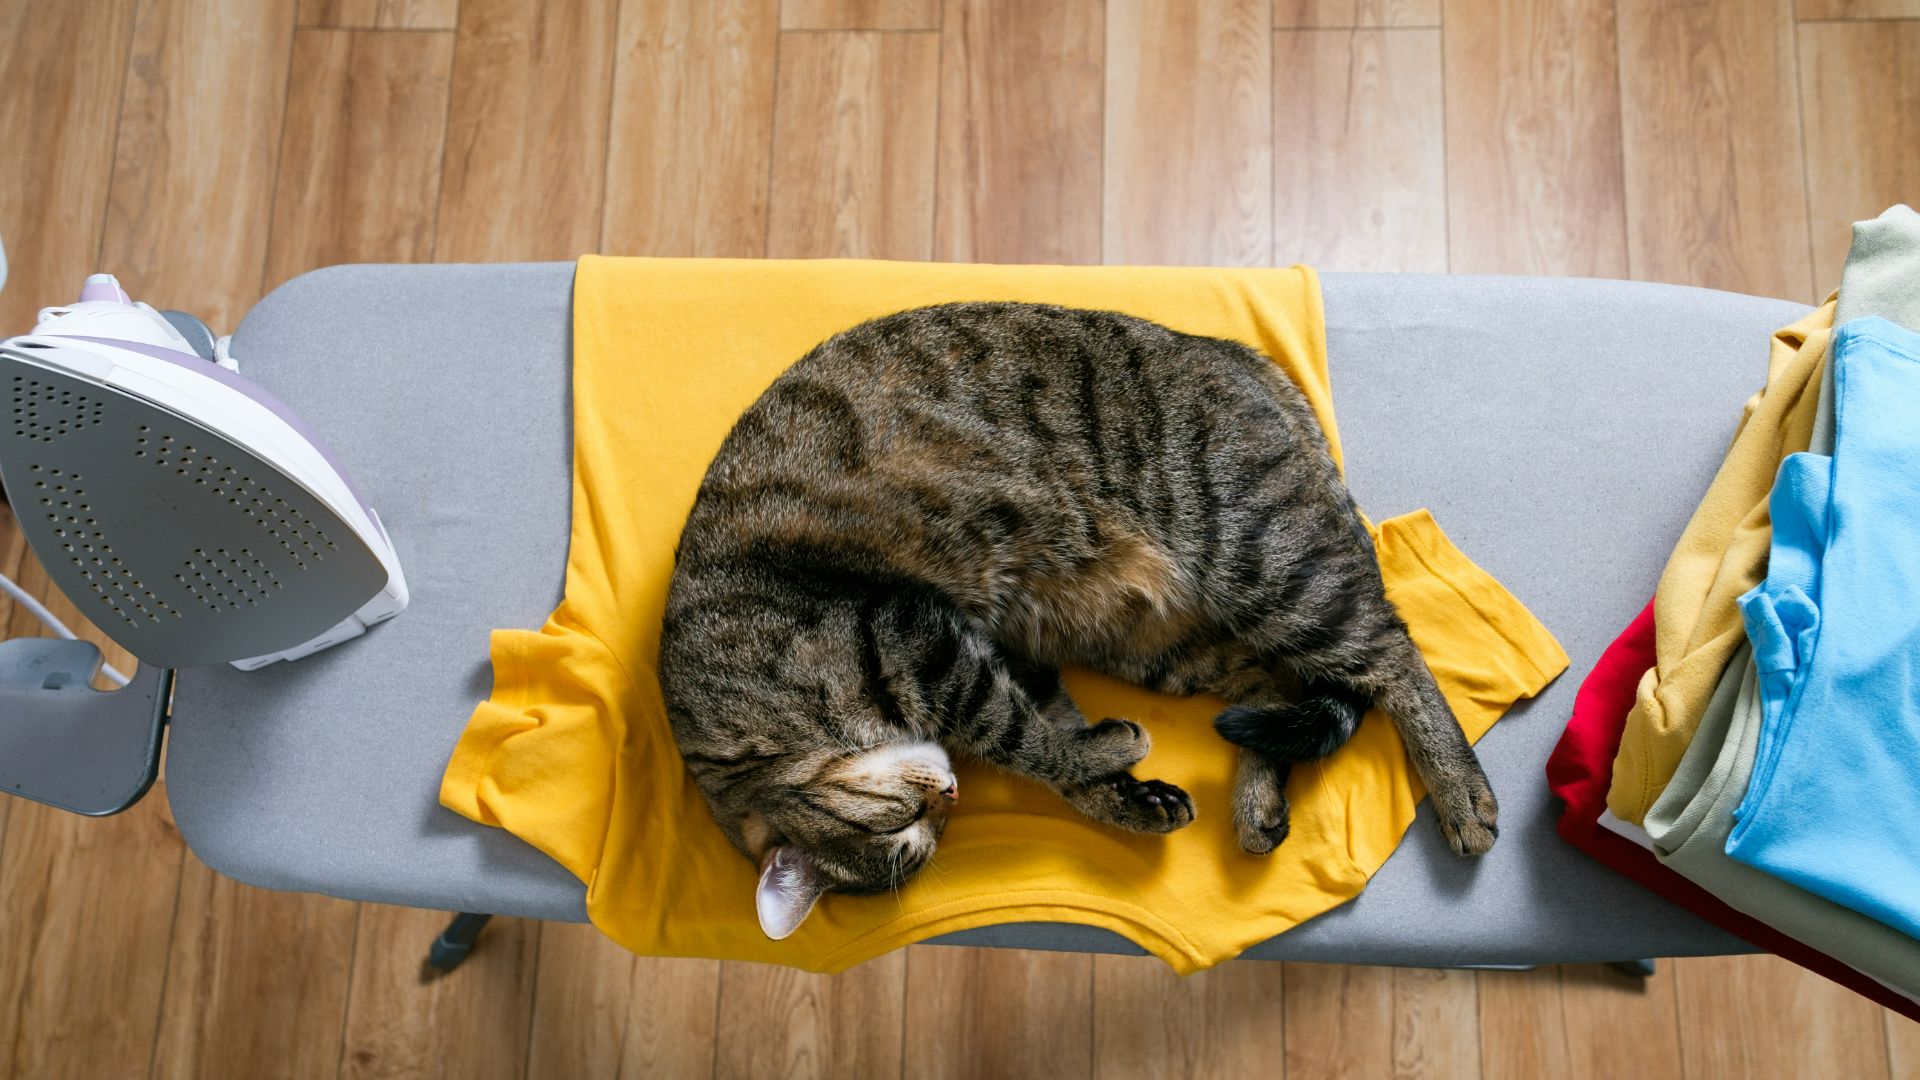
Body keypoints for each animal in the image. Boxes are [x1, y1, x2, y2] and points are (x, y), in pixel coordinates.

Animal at [660, 299, 1497, 933]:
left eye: (904, 826)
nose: (948, 797)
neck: (735, 729)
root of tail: (1237, 355)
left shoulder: (911, 635)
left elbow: (1019, 739)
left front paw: (1104, 756)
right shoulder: (1003, 648)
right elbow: (1055, 740)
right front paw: (1128, 793)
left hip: (1263, 558)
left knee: (1395, 654)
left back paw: (1462, 794)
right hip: (1156, 640)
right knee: (1273, 684)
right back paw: (1257, 800)